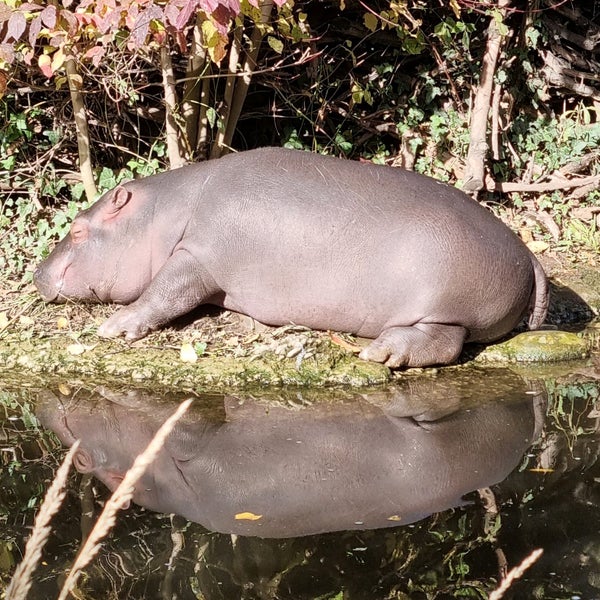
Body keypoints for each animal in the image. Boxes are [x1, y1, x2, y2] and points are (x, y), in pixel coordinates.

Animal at [34, 148, 548, 368]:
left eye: (78, 229)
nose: (36, 273)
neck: (161, 215)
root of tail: (526, 252)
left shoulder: (196, 257)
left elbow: (164, 292)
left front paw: (113, 327)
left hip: (446, 308)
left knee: (444, 343)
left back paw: (380, 352)